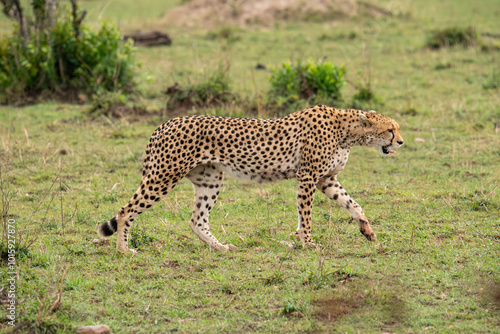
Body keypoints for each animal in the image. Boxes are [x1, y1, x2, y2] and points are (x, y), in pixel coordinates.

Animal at [97, 105, 402, 252]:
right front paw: (307, 242)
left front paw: (368, 232)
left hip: (210, 180)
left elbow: (354, 205)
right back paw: (124, 250)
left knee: (197, 220)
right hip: (163, 176)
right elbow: (306, 214)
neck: (348, 131)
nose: (400, 141)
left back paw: (220, 248)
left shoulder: (325, 179)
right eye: (390, 129)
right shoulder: (307, 177)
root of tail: (166, 123)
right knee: (125, 210)